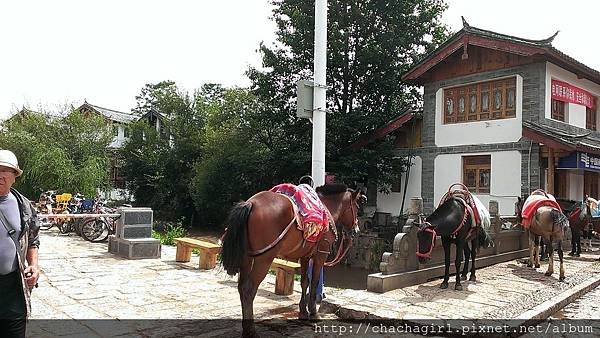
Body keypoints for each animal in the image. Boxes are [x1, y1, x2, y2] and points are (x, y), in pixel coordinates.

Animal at [219, 184, 360, 336]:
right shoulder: (321, 255)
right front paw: (314, 313)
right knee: (249, 289)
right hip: (264, 259)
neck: (326, 209)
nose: (356, 230)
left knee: (241, 287)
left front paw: (303, 312)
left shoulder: (305, 256)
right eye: (357, 207)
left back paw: (246, 328)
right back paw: (251, 330)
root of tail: (251, 203)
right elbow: (314, 282)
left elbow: (305, 282)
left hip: (247, 258)